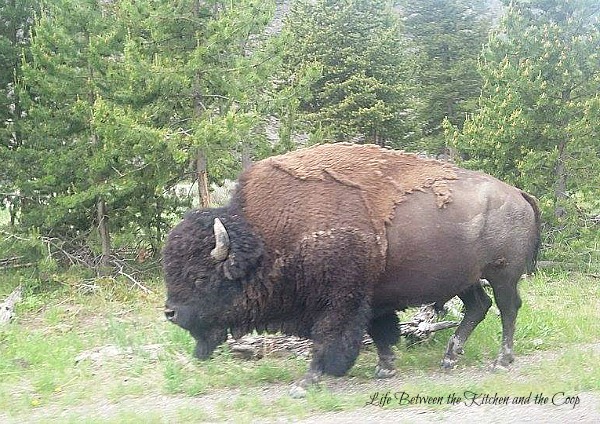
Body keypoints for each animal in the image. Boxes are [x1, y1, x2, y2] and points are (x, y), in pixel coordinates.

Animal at [162, 144, 540, 396]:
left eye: (200, 277)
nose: (170, 312)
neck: (267, 237)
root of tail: (518, 193)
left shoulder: (339, 301)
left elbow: (327, 338)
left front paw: (306, 382)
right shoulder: (371, 299)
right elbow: (381, 331)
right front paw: (384, 368)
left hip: (502, 274)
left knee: (507, 308)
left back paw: (501, 360)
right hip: (465, 278)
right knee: (479, 306)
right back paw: (450, 356)